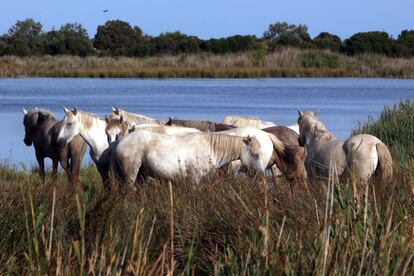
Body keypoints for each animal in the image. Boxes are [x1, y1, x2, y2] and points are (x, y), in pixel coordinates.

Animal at [111, 130, 266, 185]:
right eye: (255, 154)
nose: (260, 174)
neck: (210, 148)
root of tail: (120, 142)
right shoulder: (194, 178)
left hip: (141, 175)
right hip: (131, 175)